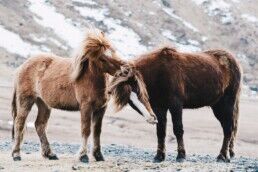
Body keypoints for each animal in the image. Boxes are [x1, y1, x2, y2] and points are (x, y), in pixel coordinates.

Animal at [11, 29, 156, 163]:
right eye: (102, 58)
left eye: (113, 52)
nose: (126, 69)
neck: (90, 78)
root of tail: (22, 66)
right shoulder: (86, 107)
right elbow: (86, 130)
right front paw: (83, 156)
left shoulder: (100, 109)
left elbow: (97, 131)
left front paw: (98, 156)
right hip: (26, 100)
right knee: (20, 123)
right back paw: (16, 154)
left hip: (43, 104)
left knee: (40, 125)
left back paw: (50, 154)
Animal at [108, 46, 241, 163]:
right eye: (129, 100)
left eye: (138, 90)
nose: (151, 118)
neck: (159, 73)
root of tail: (233, 61)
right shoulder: (159, 108)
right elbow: (161, 132)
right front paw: (159, 156)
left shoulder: (175, 105)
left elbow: (178, 129)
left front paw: (181, 155)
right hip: (217, 106)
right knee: (229, 128)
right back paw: (228, 155)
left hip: (226, 104)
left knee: (228, 129)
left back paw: (222, 156)